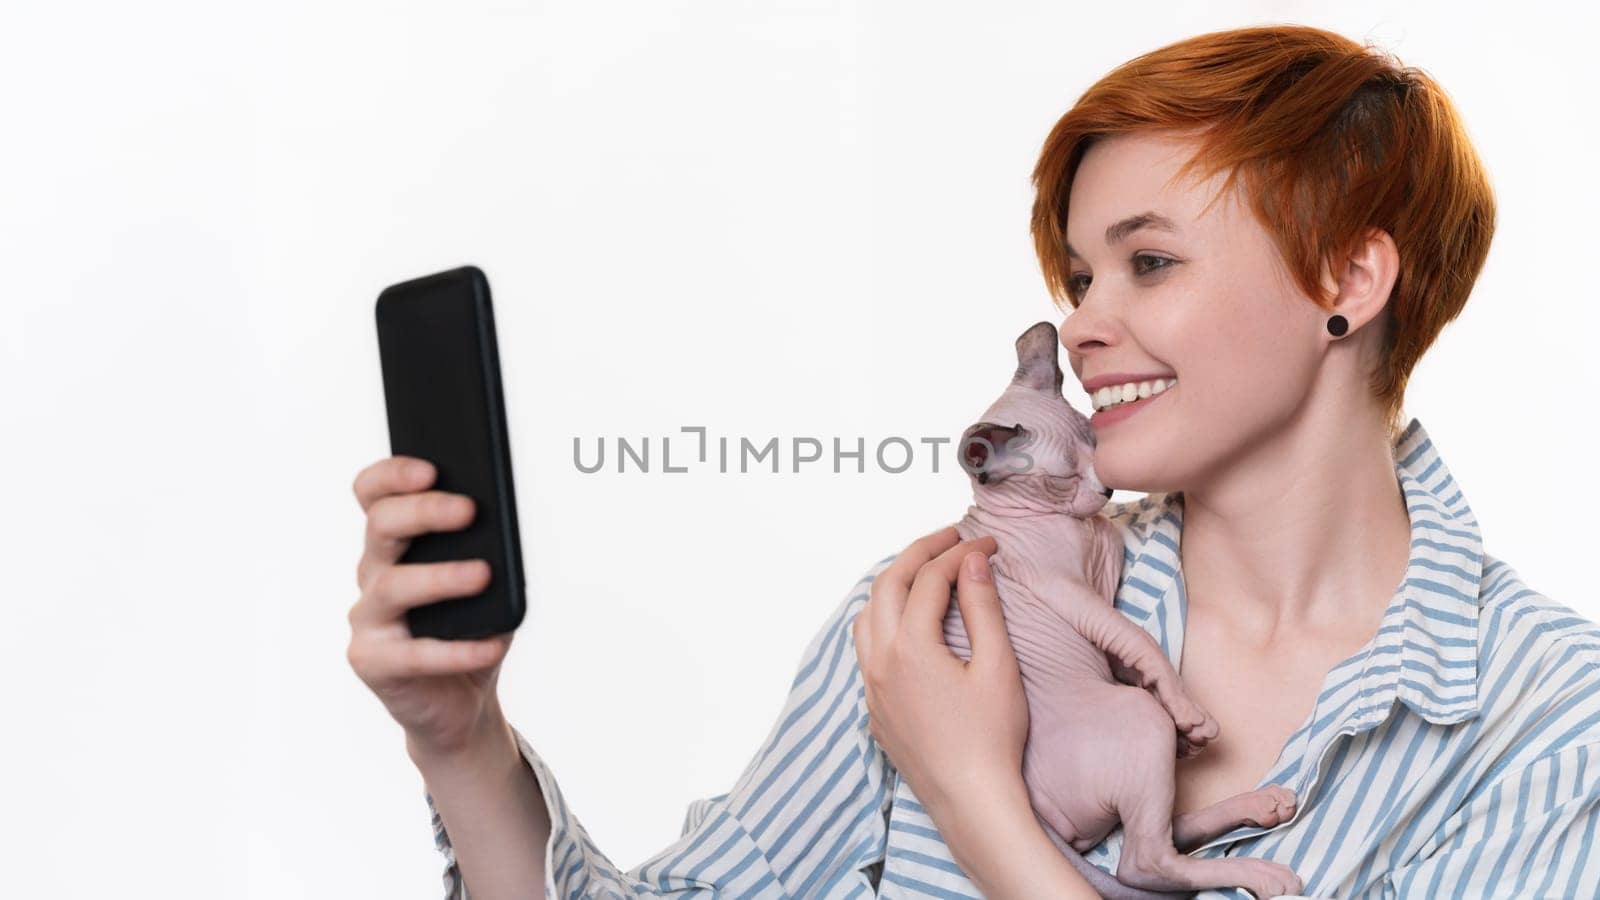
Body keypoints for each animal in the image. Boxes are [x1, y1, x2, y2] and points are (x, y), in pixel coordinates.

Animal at [940, 318, 1305, 890]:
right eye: (1064, 477)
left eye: (1097, 441)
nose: (1108, 487)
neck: (1078, 526)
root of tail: (1034, 812)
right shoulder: (1070, 593)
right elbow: (1138, 641)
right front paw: (1190, 715)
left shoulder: (1101, 591)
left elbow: (1131, 658)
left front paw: (1185, 728)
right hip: (1137, 724)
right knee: (1144, 862)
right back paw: (1263, 872)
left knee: (1163, 835)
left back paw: (1259, 805)